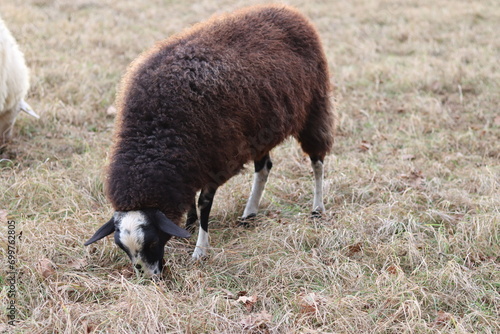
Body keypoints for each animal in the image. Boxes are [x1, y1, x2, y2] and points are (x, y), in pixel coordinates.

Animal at [85, 4, 336, 276]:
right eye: (122, 247)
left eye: (152, 241)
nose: (151, 278)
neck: (155, 134)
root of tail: (287, 10)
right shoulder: (190, 163)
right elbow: (191, 200)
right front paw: (189, 226)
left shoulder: (216, 159)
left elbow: (204, 203)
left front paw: (200, 250)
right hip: (259, 129)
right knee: (264, 168)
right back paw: (249, 214)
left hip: (314, 107)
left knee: (317, 161)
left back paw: (317, 209)